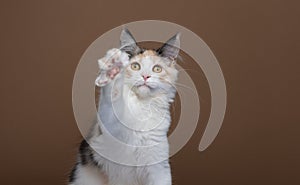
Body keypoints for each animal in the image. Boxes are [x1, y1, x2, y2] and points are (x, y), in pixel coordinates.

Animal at [68, 27, 180, 185]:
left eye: (157, 69)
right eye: (135, 66)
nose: (145, 77)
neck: (141, 106)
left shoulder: (158, 164)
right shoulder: (107, 130)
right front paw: (113, 70)